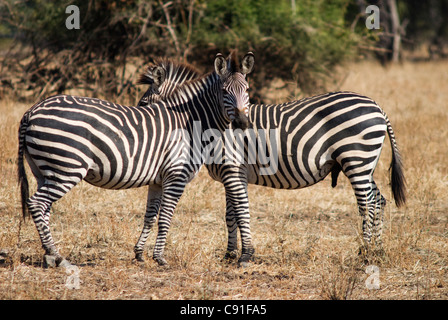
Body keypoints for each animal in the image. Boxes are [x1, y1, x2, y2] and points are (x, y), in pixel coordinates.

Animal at [16, 52, 256, 268]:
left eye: (246, 90)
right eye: (224, 91)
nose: (243, 123)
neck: (190, 122)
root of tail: (31, 110)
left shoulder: (158, 180)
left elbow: (150, 215)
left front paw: (140, 254)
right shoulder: (176, 175)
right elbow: (166, 216)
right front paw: (160, 258)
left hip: (44, 170)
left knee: (44, 207)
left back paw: (49, 256)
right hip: (67, 168)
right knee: (36, 203)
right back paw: (56, 255)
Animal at [136, 60, 406, 264]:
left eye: (143, 104)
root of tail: (377, 107)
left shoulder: (232, 169)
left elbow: (239, 213)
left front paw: (243, 256)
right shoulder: (233, 173)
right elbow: (231, 215)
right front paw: (229, 255)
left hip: (356, 160)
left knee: (366, 204)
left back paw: (365, 253)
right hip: (365, 164)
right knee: (378, 200)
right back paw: (376, 251)